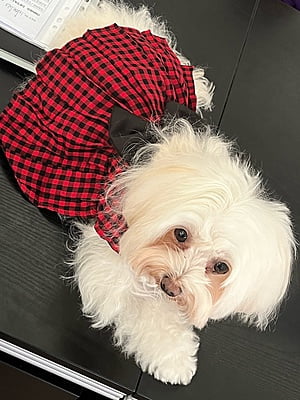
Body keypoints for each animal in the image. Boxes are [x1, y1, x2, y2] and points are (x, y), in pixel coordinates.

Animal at [51, 1, 292, 386]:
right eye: (180, 234)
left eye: (220, 267)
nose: (172, 286)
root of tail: (98, 23)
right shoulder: (110, 253)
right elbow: (141, 306)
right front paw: (175, 359)